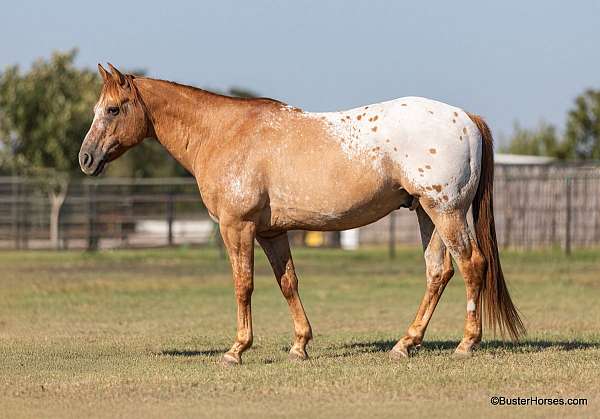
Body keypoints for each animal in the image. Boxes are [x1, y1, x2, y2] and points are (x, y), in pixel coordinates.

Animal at [77, 64, 524, 366]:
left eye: (113, 110)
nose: (86, 159)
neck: (224, 133)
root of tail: (466, 118)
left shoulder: (237, 228)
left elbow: (243, 285)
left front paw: (237, 350)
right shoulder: (272, 233)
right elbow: (287, 283)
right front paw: (299, 345)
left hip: (447, 212)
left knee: (472, 265)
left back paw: (466, 344)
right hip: (427, 215)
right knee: (438, 272)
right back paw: (405, 344)